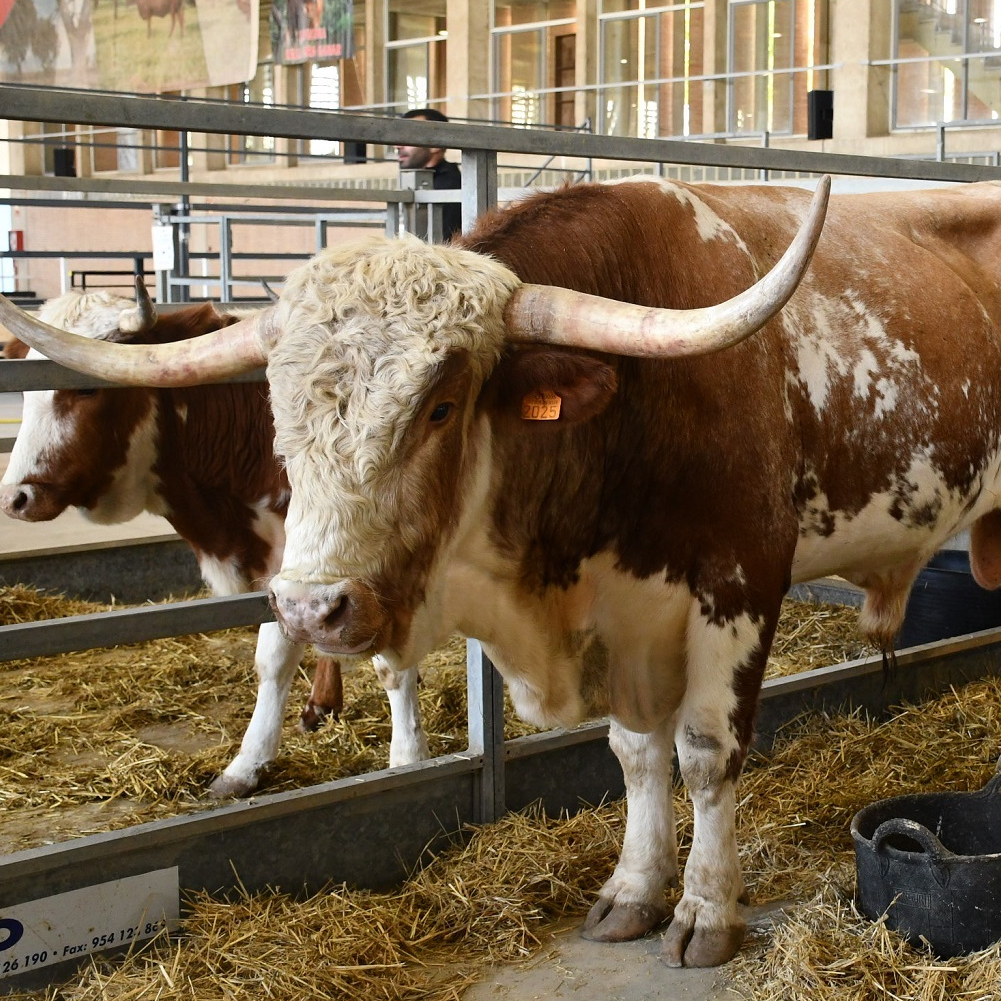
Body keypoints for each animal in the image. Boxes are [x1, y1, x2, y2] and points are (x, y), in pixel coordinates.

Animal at [0, 288, 428, 796]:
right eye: (26, 391)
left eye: (86, 390)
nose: (16, 497)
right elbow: (275, 657)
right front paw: (248, 763)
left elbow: (388, 662)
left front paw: (409, 758)